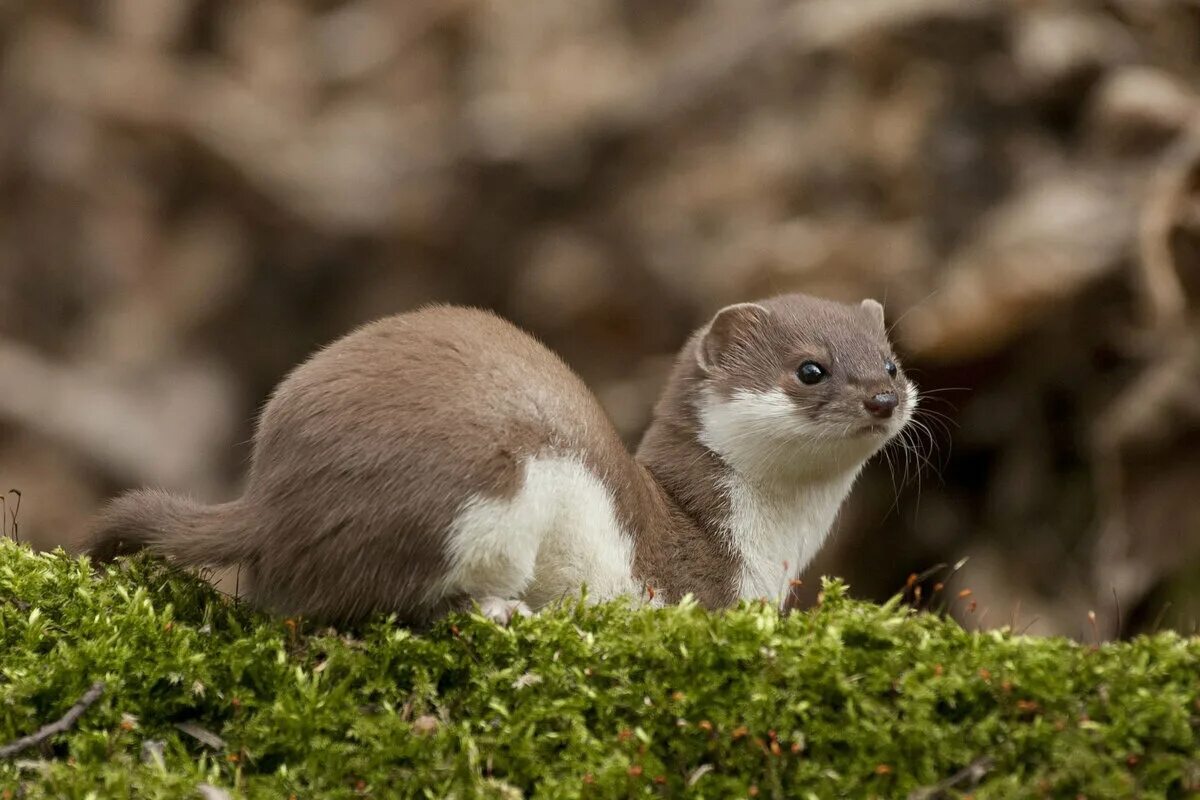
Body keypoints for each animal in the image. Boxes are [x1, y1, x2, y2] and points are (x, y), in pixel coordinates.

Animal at [91, 293, 916, 623]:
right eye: (810, 368)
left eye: (891, 361)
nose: (883, 398)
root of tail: (269, 497)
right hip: (487, 488)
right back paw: (496, 608)